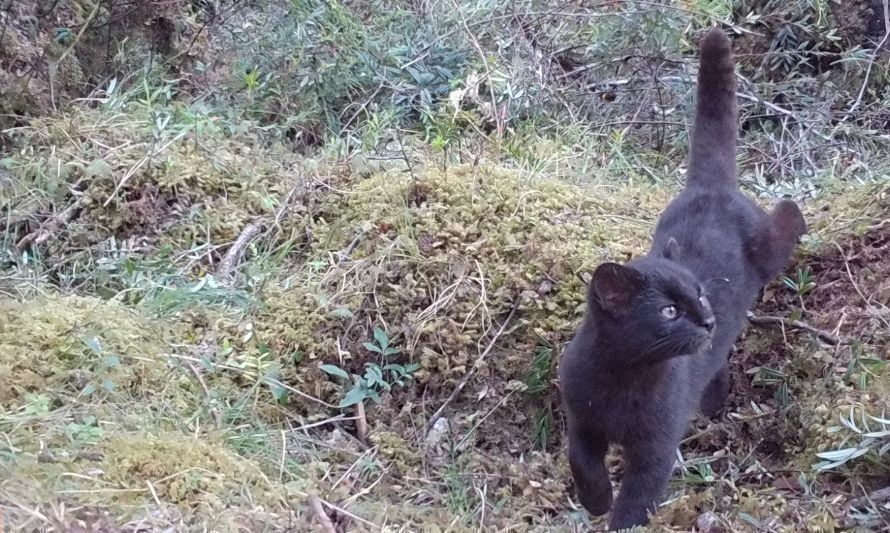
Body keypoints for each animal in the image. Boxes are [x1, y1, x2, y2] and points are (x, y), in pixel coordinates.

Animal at [560, 26, 804, 528]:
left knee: (788, 214)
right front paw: (595, 499)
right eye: (670, 311)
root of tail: (708, 187)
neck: (624, 376)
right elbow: (580, 460)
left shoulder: (655, 449)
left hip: (768, 248)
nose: (707, 321)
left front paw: (618, 521)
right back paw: (712, 404)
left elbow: (637, 501)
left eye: (700, 295)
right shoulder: (582, 419)